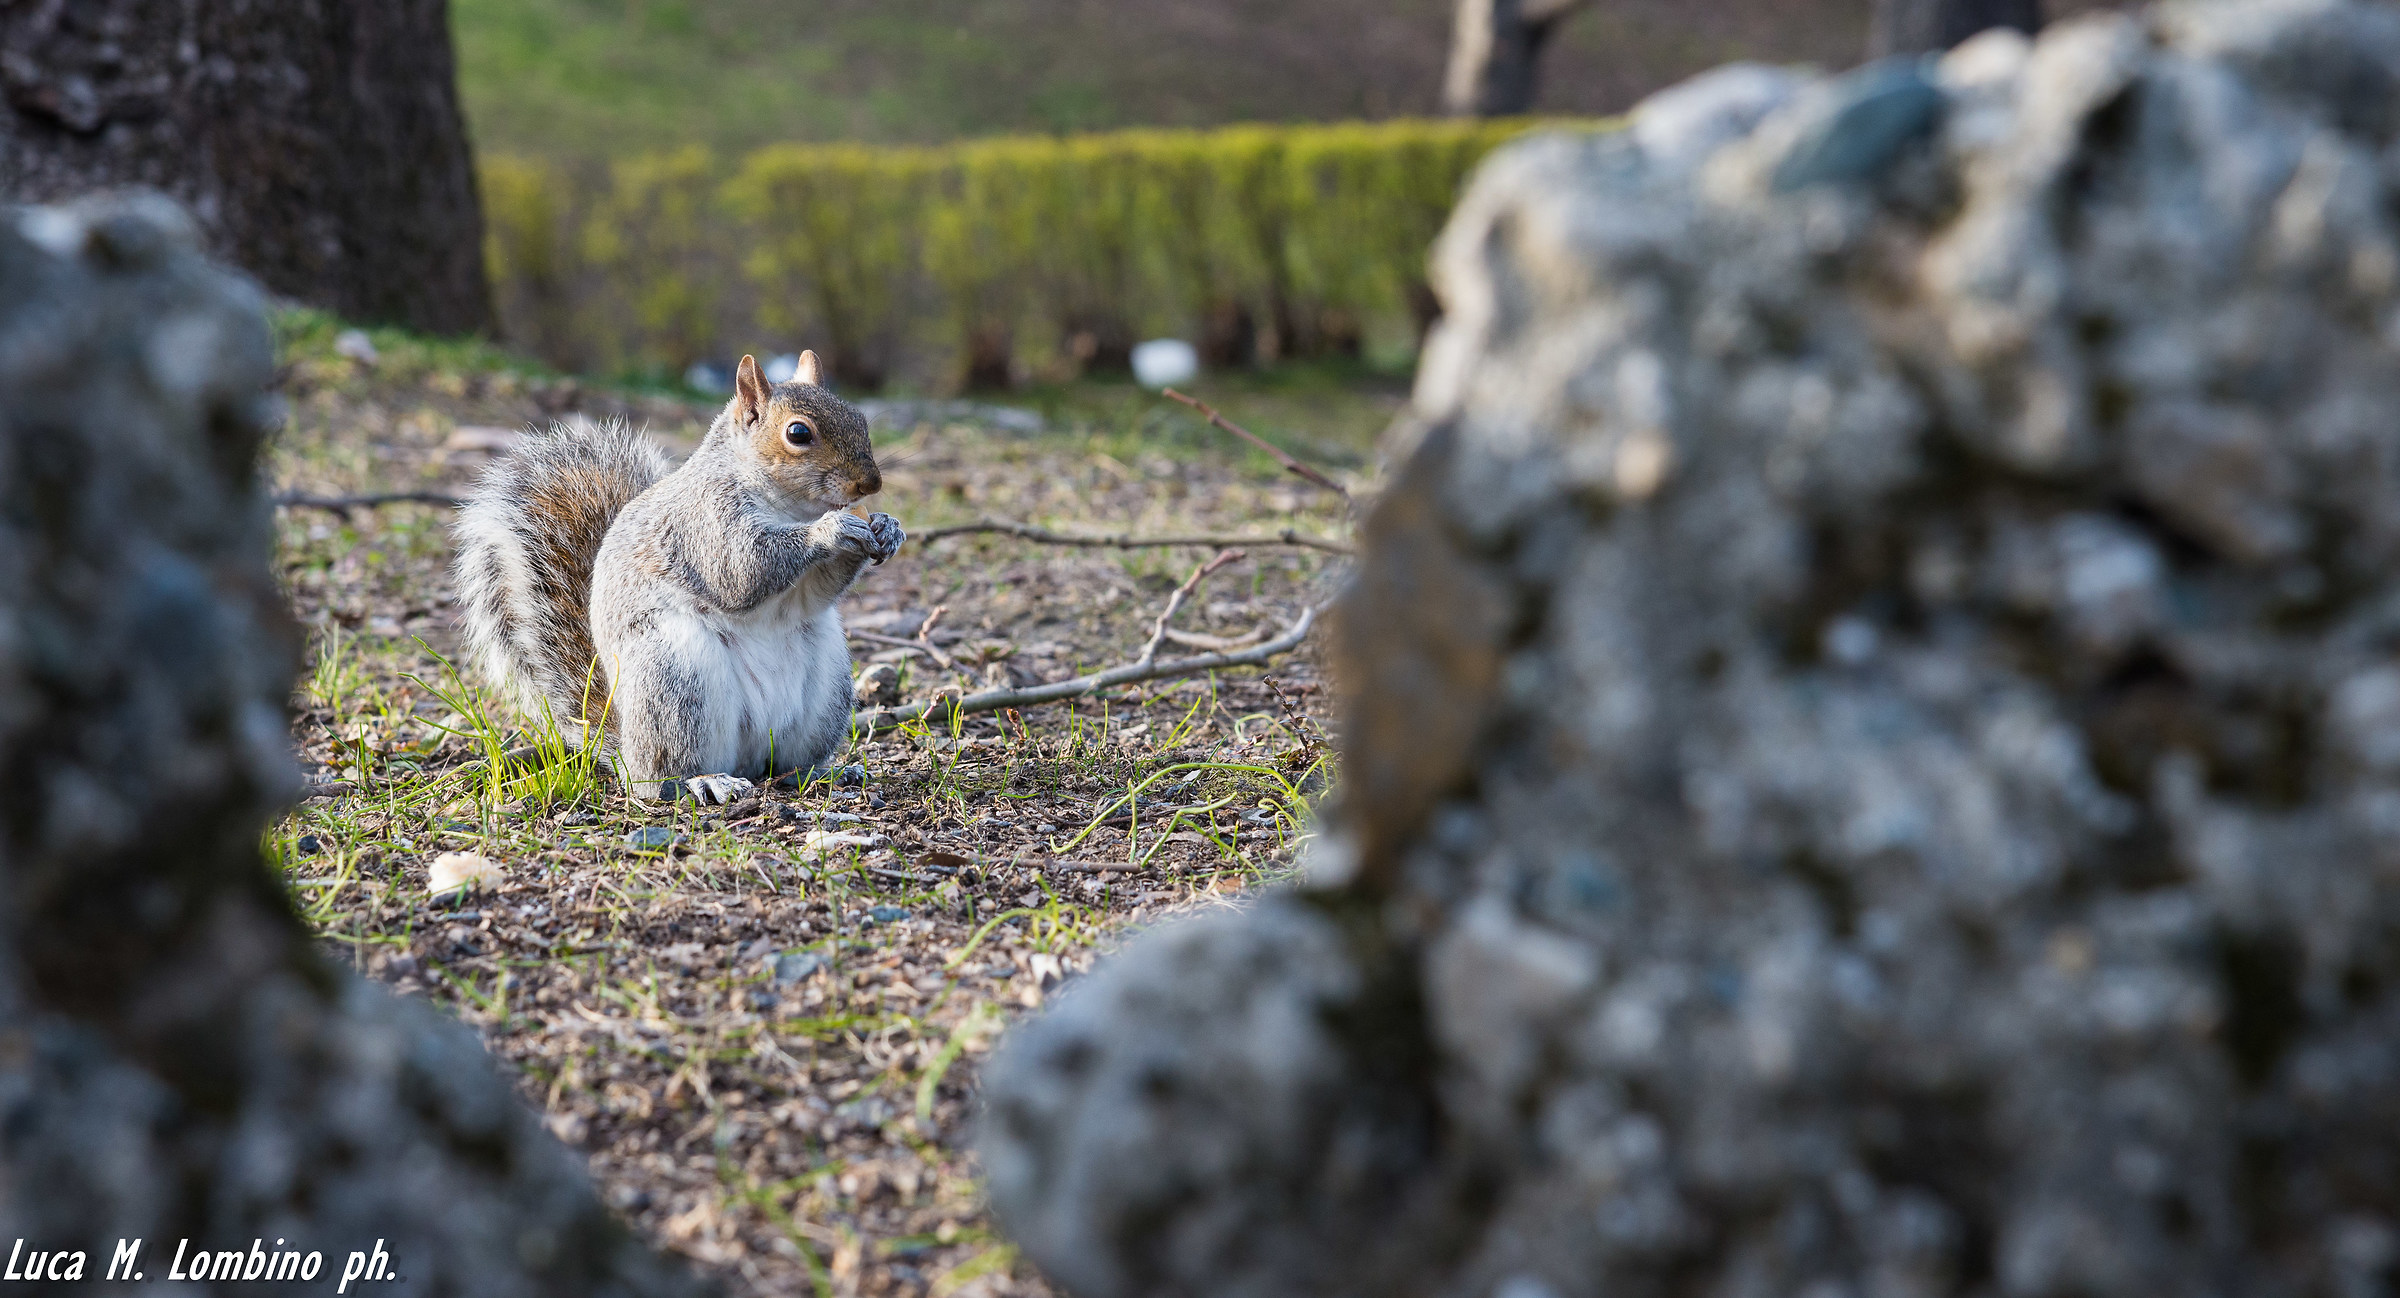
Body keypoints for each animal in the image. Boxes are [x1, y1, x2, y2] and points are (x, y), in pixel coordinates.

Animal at [452, 351, 904, 804]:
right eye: (798, 433)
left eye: (859, 419)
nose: (871, 483)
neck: (789, 508)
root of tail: (626, 752)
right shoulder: (704, 522)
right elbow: (742, 571)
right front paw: (831, 530)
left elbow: (814, 593)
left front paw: (887, 527)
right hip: (674, 680)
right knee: (664, 775)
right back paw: (703, 780)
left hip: (826, 687)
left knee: (786, 764)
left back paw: (824, 772)